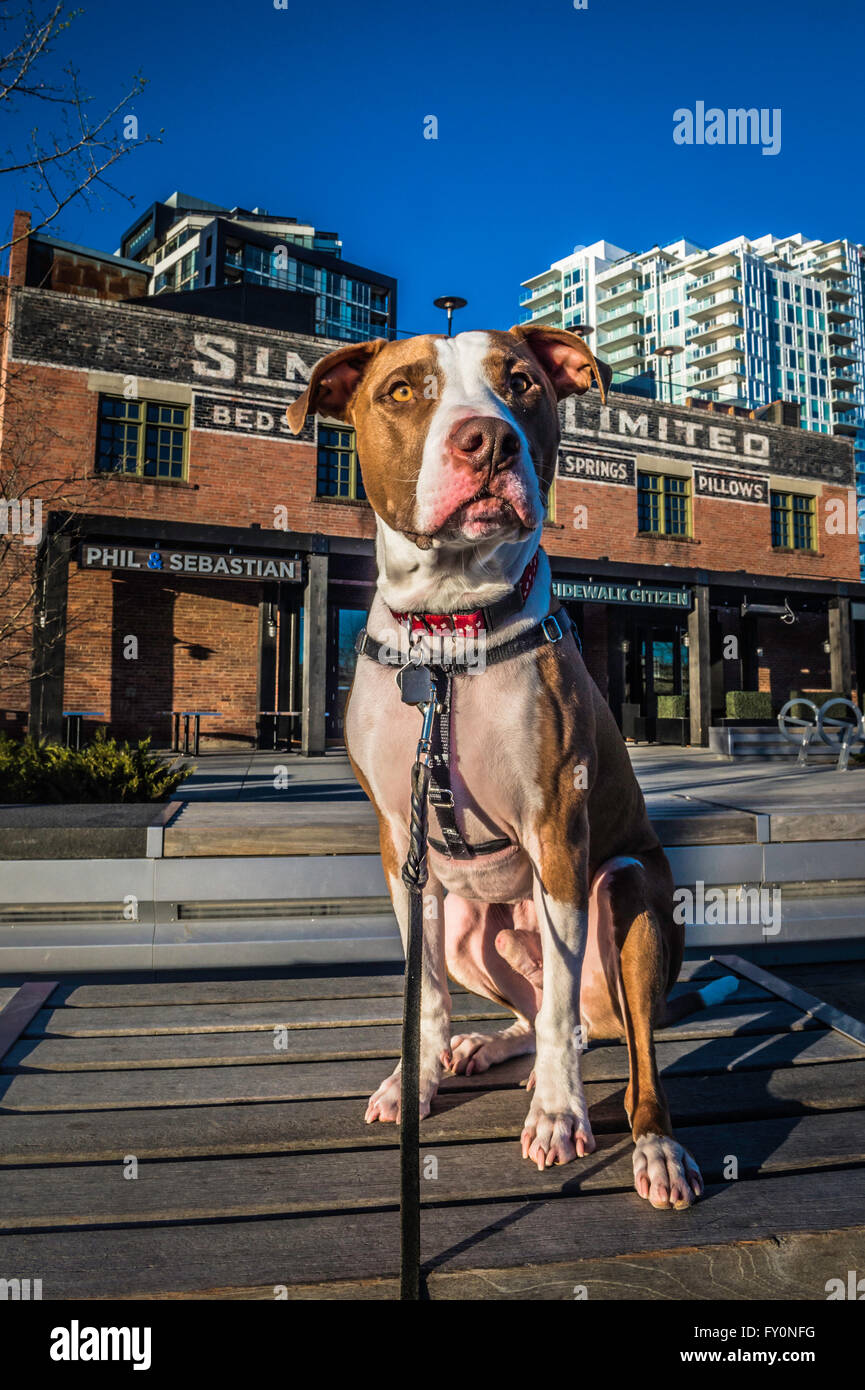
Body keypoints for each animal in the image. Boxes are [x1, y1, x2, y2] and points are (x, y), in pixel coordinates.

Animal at [286, 322, 734, 1206]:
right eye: (401, 390)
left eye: (520, 382)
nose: (487, 440)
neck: (447, 638)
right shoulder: (402, 849)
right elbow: (423, 992)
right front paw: (416, 1078)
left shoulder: (557, 830)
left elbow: (560, 1007)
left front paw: (558, 1116)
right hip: (467, 924)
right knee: (544, 1018)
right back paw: (485, 1049)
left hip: (626, 892)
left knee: (617, 1047)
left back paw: (653, 1147)